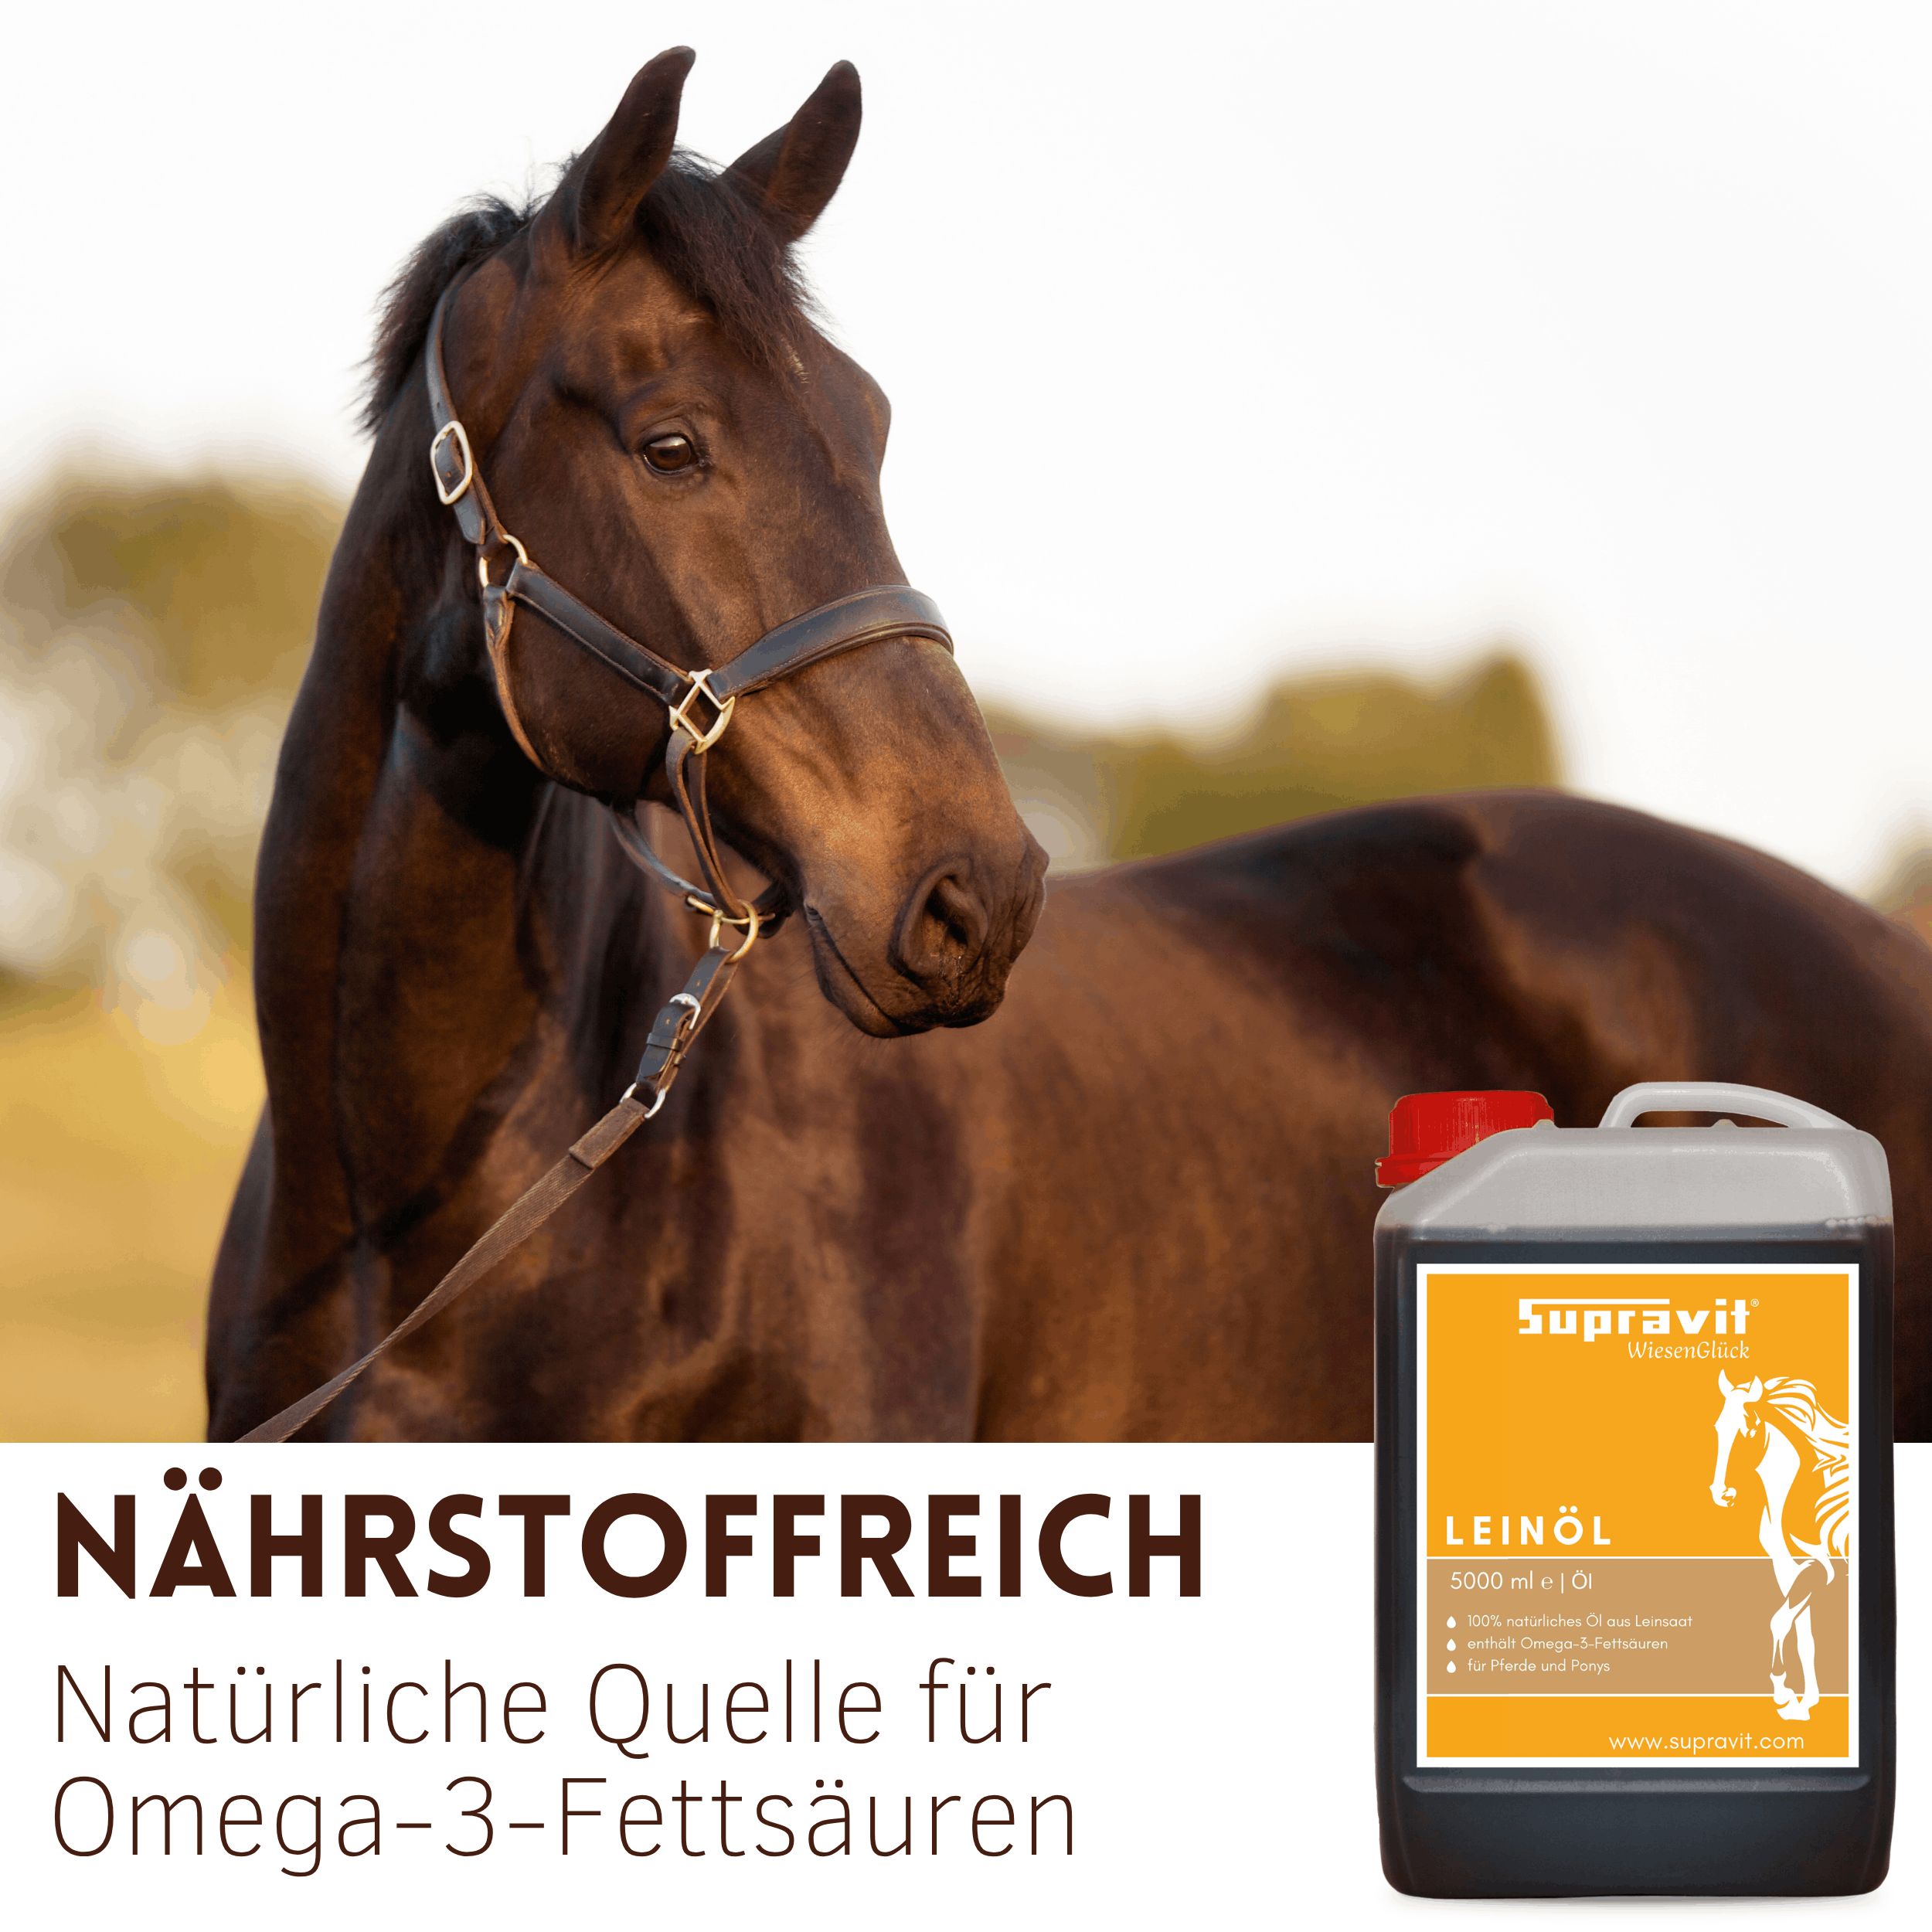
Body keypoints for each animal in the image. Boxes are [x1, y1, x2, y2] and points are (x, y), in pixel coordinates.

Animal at [1711, 1371, 1853, 1718]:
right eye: (1718, 1427)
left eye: (1749, 1429)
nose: (1722, 1493)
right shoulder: (1791, 1572)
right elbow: (1804, 1638)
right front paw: (1806, 1700)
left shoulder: (1820, 1570)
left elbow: (1778, 1622)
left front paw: (1783, 1692)